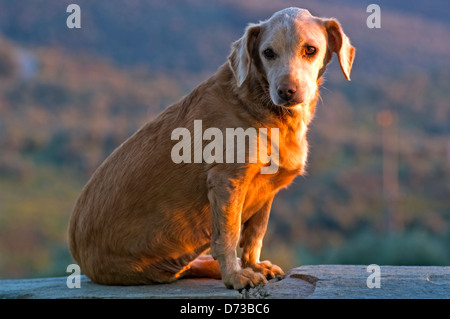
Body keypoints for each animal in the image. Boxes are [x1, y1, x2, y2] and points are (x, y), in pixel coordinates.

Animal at [68, 7, 356, 292]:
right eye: (268, 53)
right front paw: (236, 276)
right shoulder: (227, 181)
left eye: (310, 50)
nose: (286, 91)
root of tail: (78, 256)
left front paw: (253, 265)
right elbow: (229, 236)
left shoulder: (267, 190)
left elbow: (256, 234)